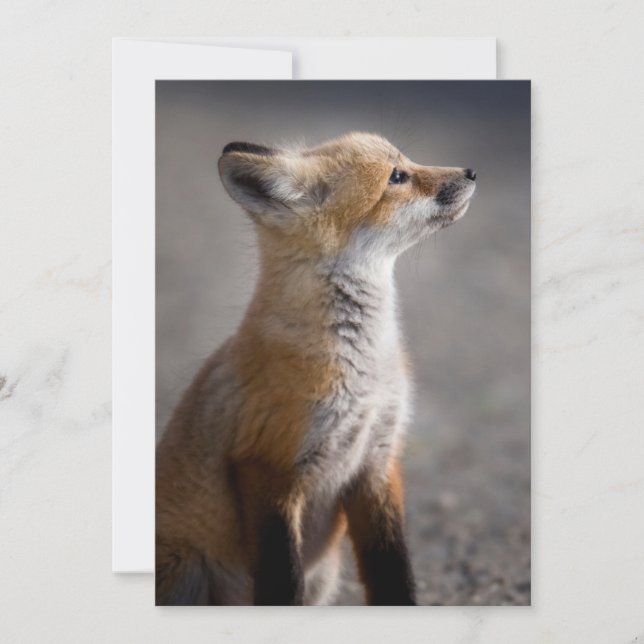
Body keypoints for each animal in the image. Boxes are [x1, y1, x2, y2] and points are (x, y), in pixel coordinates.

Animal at [155, 132, 476, 605]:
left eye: (407, 162)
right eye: (396, 177)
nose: (471, 171)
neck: (364, 376)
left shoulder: (378, 459)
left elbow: (393, 571)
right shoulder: (268, 464)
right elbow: (281, 581)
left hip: (323, 575)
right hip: (187, 574)